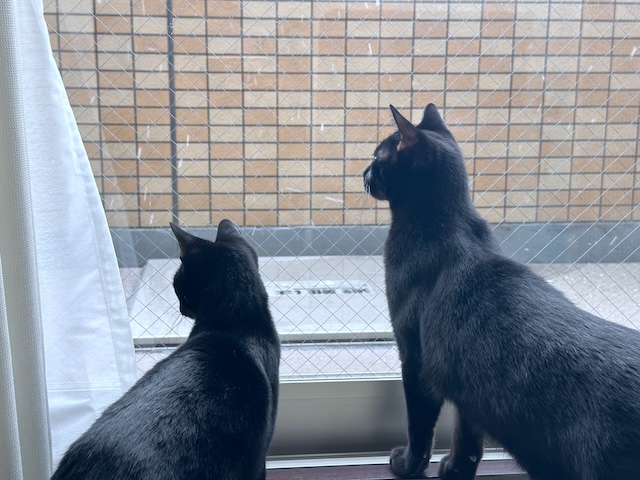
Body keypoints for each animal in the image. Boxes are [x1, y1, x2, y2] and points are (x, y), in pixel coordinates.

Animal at [363, 103, 640, 480]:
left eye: (379, 157)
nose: (364, 173)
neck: (447, 224)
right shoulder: (465, 383)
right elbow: (468, 437)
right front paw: (456, 470)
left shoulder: (415, 359)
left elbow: (420, 428)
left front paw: (408, 465)